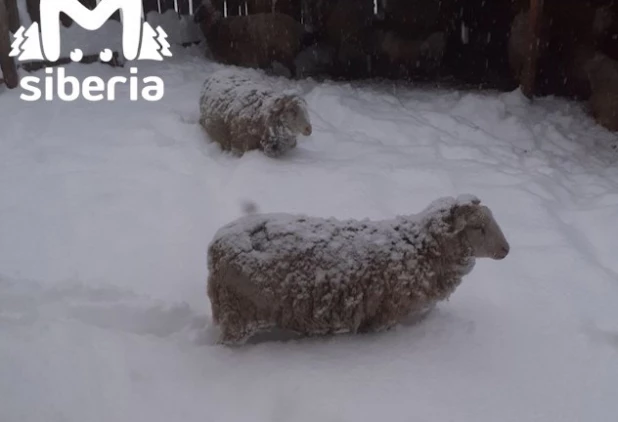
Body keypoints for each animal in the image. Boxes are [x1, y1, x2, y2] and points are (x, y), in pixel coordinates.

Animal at [205, 193, 508, 344]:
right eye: (479, 228)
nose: (506, 249)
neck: (420, 249)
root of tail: (216, 247)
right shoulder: (384, 315)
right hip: (238, 313)